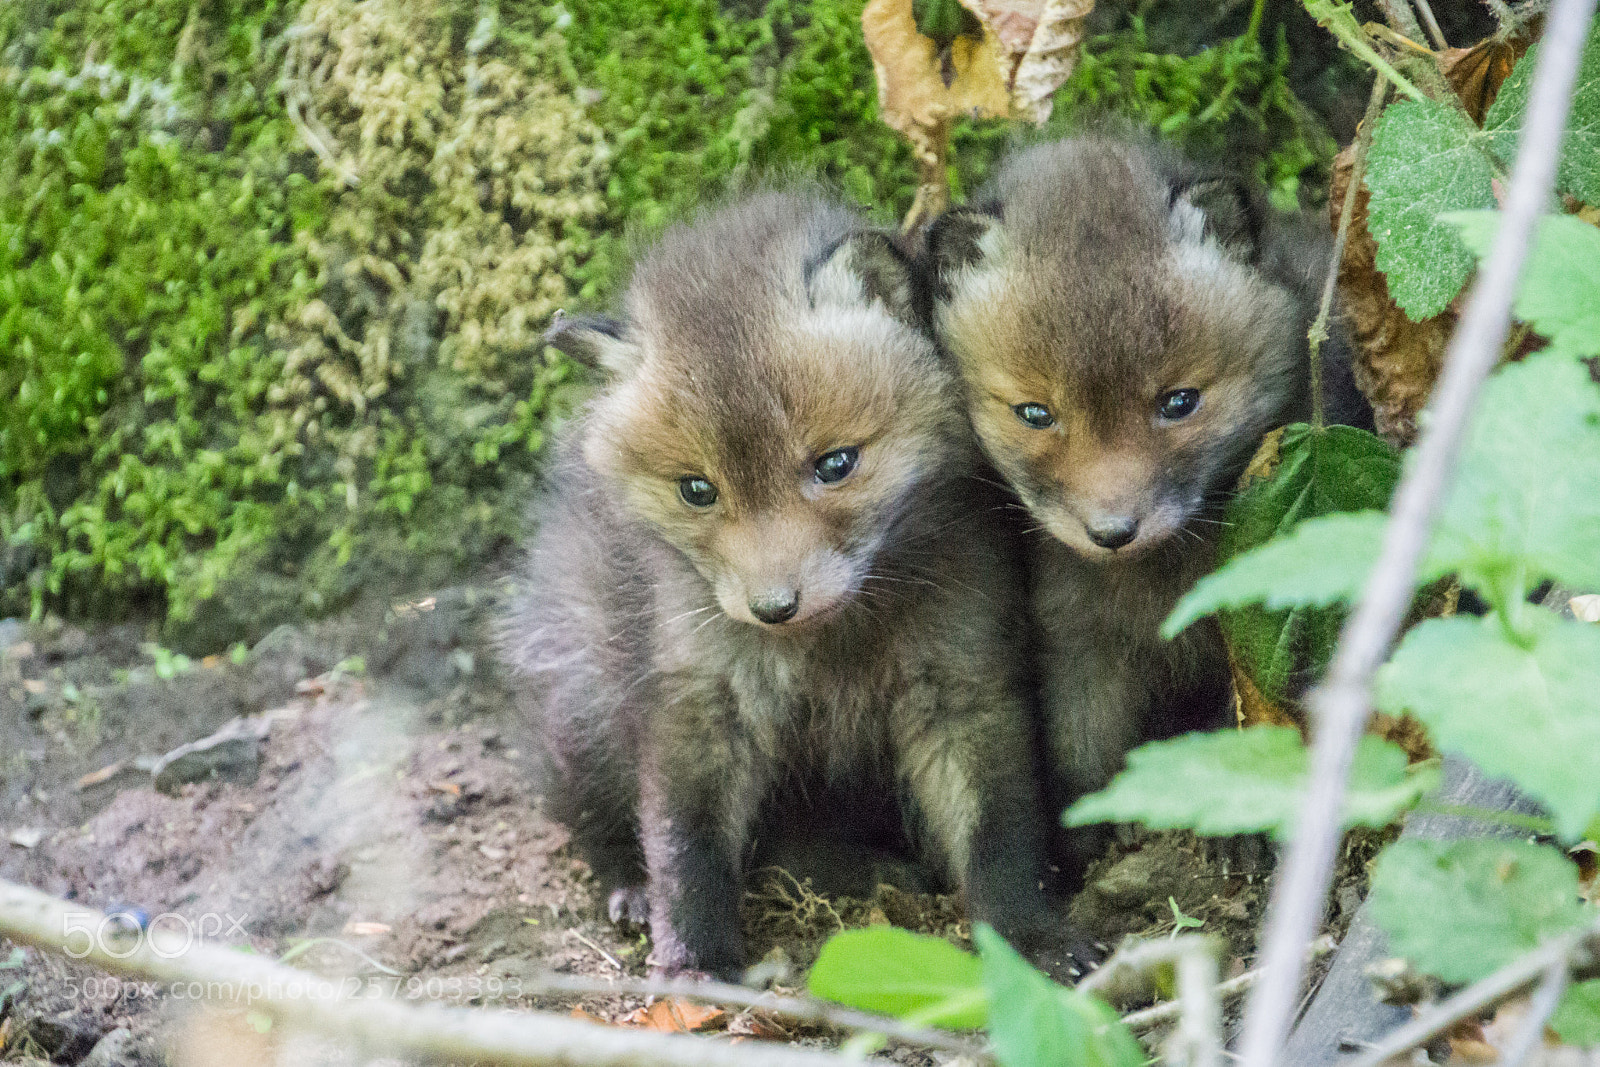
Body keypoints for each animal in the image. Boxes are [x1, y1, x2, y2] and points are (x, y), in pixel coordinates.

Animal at [500, 191, 1086, 977]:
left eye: (836, 464)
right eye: (697, 489)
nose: (774, 607)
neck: (831, 651)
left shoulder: (963, 681)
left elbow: (1003, 832)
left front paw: (1031, 940)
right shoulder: (698, 697)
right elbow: (685, 843)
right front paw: (692, 963)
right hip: (583, 700)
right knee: (594, 814)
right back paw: (632, 888)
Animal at [921, 136, 1371, 877]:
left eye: (1179, 402)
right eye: (1035, 413)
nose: (1112, 531)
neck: (1156, 588)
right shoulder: (1076, 633)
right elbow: (1081, 742)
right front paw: (1087, 835)